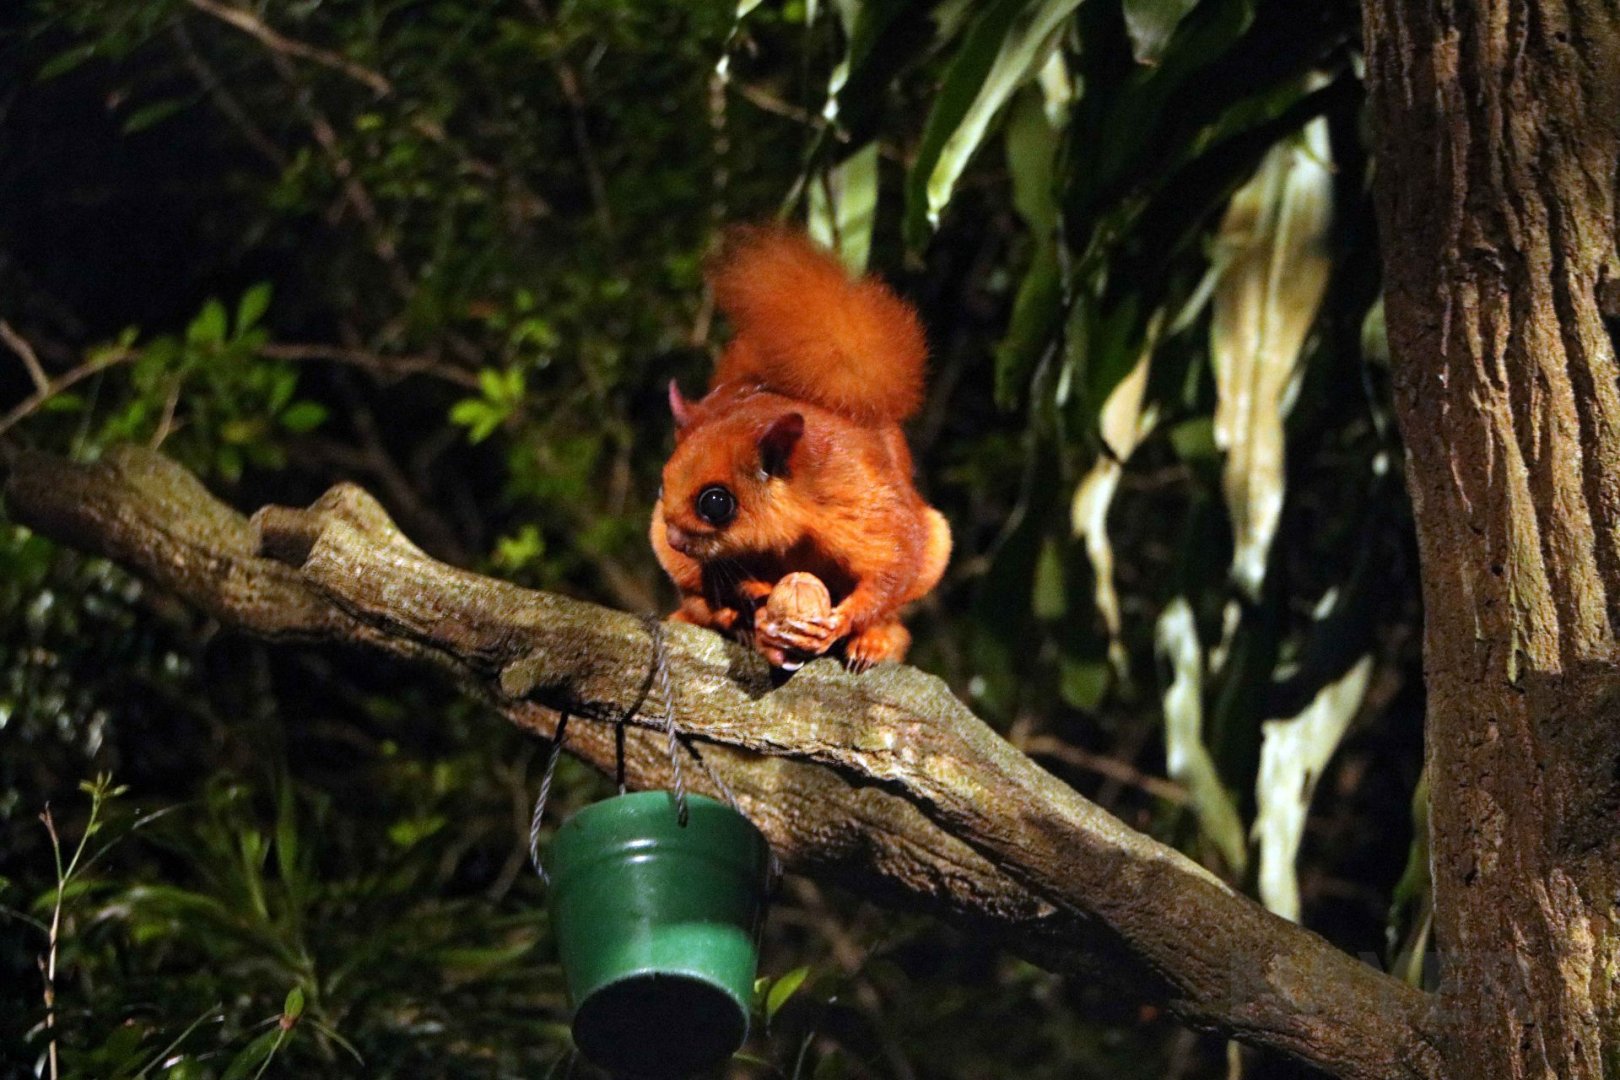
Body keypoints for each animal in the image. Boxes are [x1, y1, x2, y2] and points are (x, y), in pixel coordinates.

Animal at [650, 225, 951, 670]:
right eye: (661, 486)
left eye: (716, 503)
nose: (674, 539)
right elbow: (722, 579)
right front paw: (755, 605)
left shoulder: (858, 499)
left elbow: (892, 565)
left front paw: (842, 622)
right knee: (698, 602)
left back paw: (876, 641)